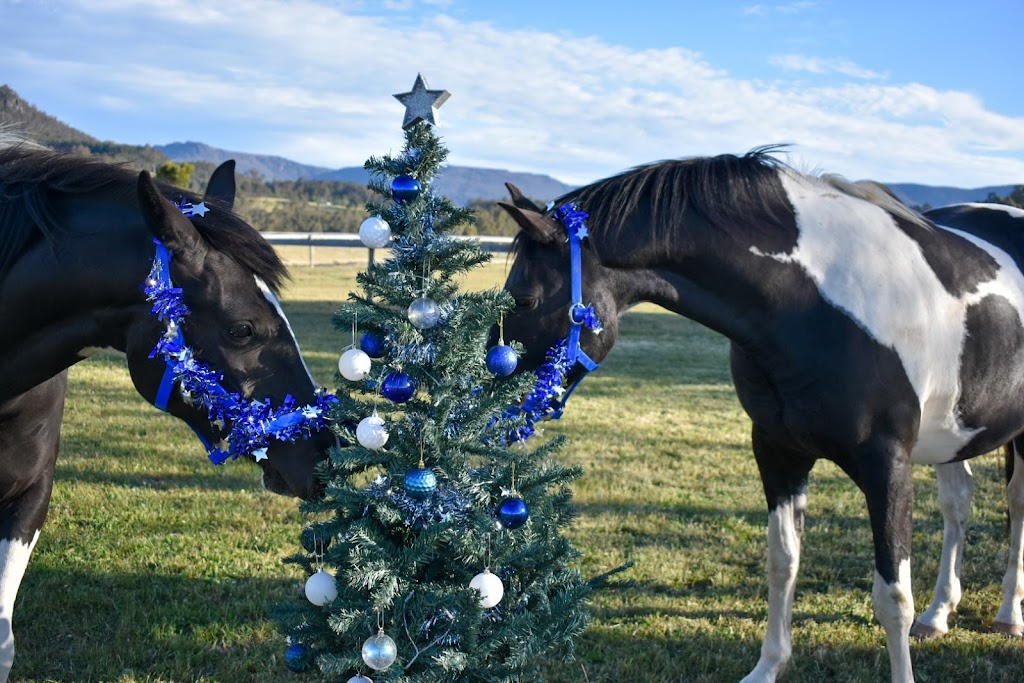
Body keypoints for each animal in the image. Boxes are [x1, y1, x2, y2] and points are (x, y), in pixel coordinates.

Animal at [499, 149, 1024, 683]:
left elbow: (892, 596)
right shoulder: (778, 452)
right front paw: (769, 666)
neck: (812, 304)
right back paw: (939, 614)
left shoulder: (887, 466)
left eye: (524, 300)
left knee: (1017, 506)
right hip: (953, 435)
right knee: (958, 505)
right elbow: (782, 562)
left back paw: (1008, 614)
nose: (494, 402)